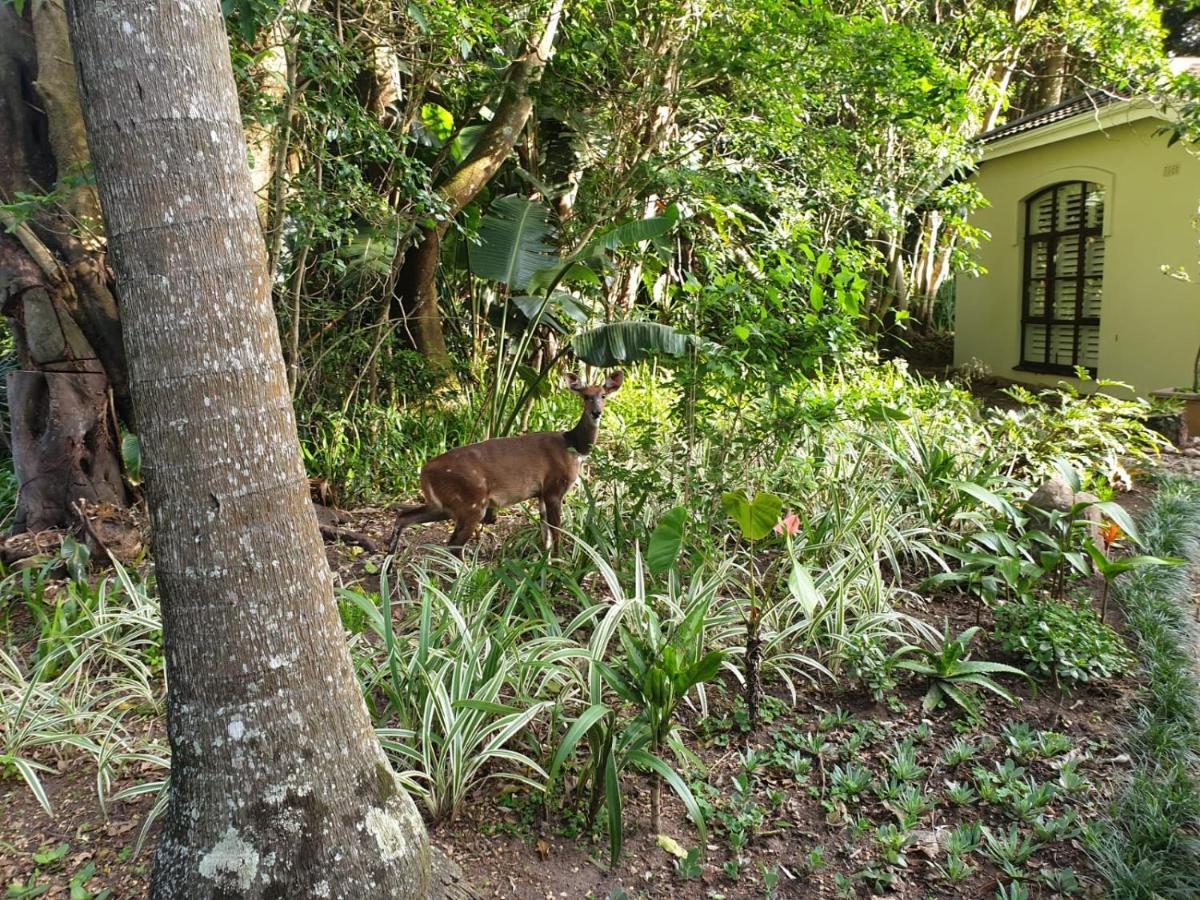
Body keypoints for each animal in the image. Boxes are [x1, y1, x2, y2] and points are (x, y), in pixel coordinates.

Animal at [388, 369, 624, 554]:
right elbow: (557, 532)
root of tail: (424, 471)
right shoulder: (554, 488)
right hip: (472, 503)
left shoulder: (541, 493)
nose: (596, 412)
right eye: (586, 396)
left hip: (442, 505)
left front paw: (546, 565)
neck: (572, 447)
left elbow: (545, 535)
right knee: (453, 545)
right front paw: (560, 567)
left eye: (603, 395)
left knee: (404, 517)